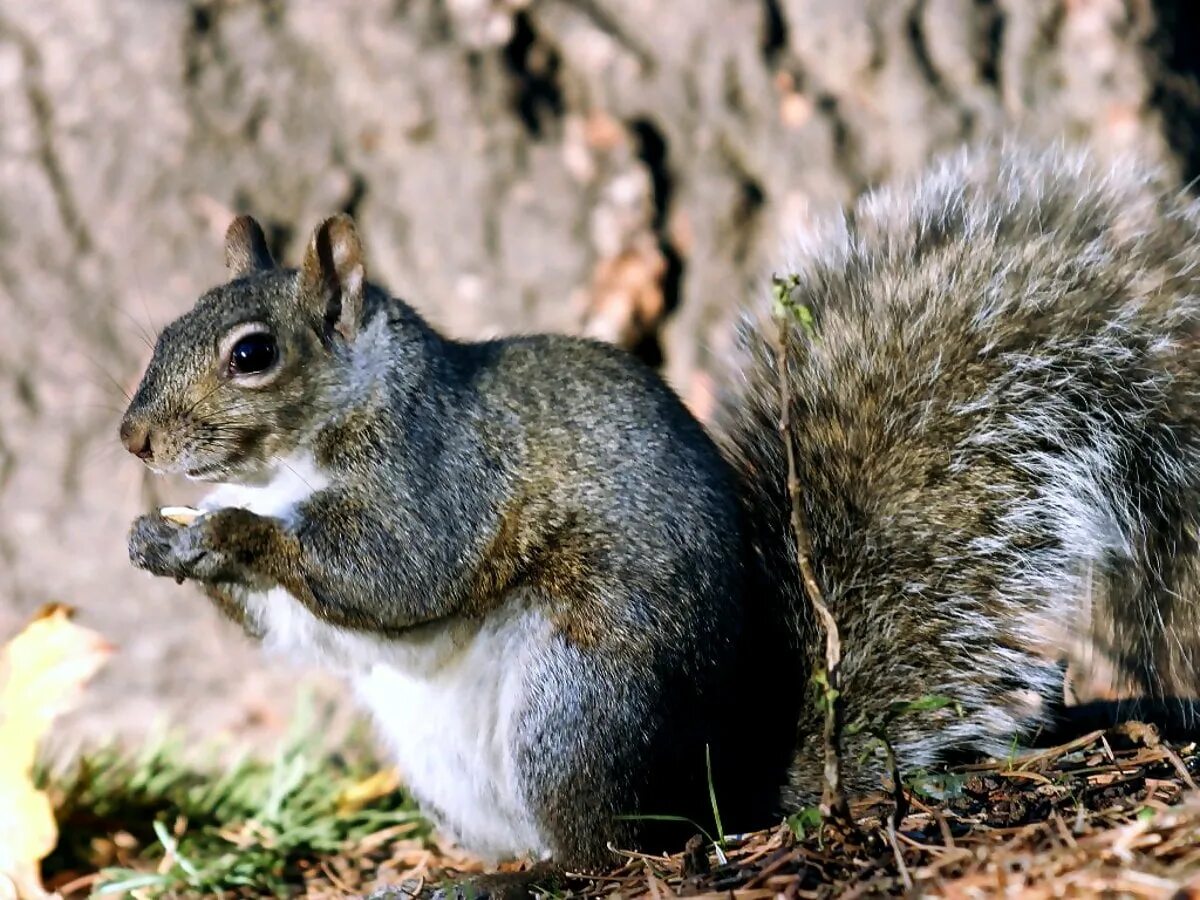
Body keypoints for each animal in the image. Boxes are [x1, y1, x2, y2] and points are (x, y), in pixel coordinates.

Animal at [119, 141, 1200, 897]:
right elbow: (306, 632)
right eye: (168, 327)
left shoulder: (438, 473)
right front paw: (158, 541)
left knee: (605, 853)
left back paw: (506, 880)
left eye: (253, 354)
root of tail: (721, 793)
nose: (131, 438)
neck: (289, 463)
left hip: (577, 702)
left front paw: (232, 538)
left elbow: (393, 572)